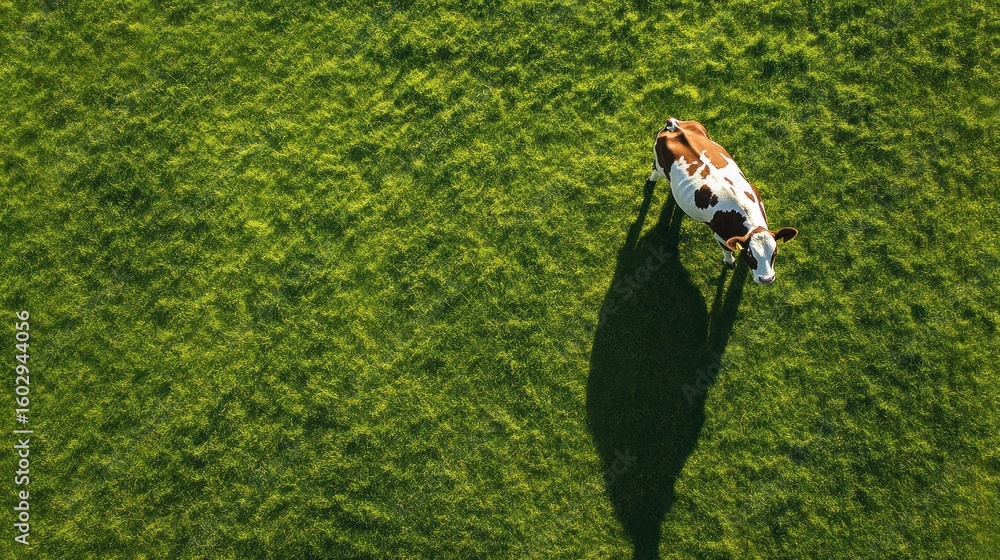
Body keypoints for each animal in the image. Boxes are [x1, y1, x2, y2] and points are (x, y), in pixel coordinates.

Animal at [647, 118, 798, 284]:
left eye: (775, 251)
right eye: (750, 254)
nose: (766, 279)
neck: (742, 211)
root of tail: (674, 124)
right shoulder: (720, 235)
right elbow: (727, 250)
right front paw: (730, 261)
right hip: (660, 164)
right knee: (655, 170)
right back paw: (650, 182)